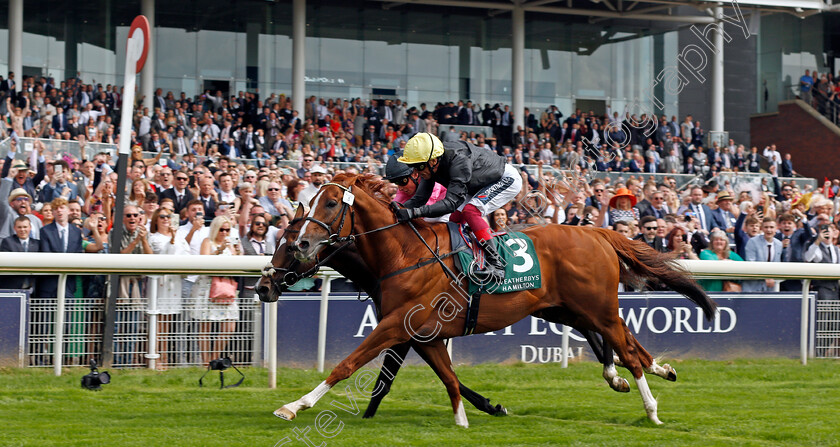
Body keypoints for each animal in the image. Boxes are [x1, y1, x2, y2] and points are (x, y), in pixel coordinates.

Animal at [272, 174, 712, 428]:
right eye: (290, 230)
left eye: (330, 203)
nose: (302, 245)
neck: (402, 254)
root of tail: (597, 232)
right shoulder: (423, 334)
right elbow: (448, 377)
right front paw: (465, 418)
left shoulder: (396, 325)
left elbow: (349, 364)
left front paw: (294, 405)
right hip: (570, 309)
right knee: (623, 343)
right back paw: (653, 371)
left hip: (598, 307)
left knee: (628, 350)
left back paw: (651, 407)